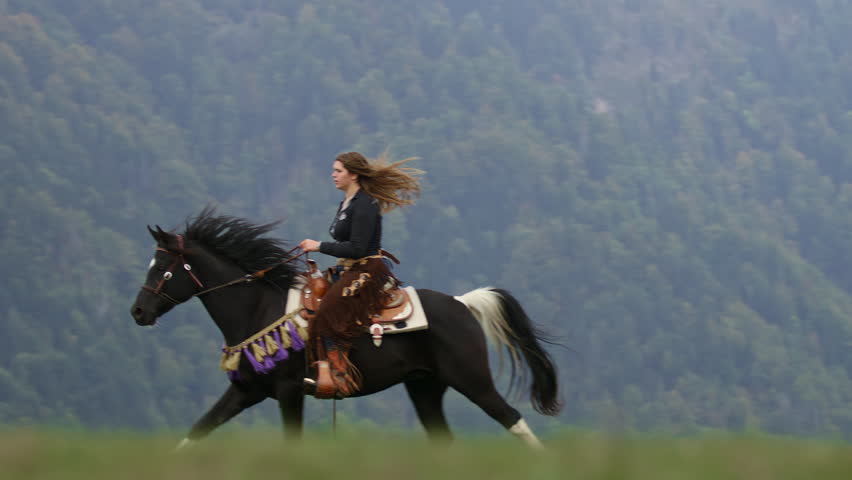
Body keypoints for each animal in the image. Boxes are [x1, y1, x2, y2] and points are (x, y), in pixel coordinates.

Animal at [130, 208, 562, 448]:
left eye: (163, 269)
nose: (138, 311)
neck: (258, 310)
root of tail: (462, 303)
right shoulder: (245, 391)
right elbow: (197, 431)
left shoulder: (289, 392)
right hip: (425, 387)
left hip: (472, 380)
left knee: (513, 420)